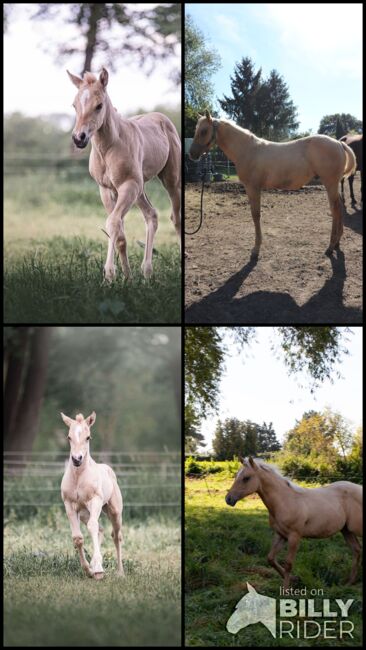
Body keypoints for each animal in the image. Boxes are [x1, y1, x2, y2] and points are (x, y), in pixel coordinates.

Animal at [59, 410, 123, 576]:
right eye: (69, 437)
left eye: (88, 437)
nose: (77, 459)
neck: (79, 478)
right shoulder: (69, 505)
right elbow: (78, 538)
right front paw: (88, 570)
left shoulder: (95, 501)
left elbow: (92, 527)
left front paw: (98, 570)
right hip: (84, 514)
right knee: (101, 531)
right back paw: (95, 565)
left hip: (113, 511)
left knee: (116, 536)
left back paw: (120, 572)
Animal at [67, 67, 182, 280]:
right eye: (74, 105)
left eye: (99, 105)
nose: (79, 138)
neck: (109, 147)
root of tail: (161, 117)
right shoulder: (106, 189)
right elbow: (119, 231)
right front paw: (127, 277)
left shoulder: (128, 186)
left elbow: (113, 223)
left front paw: (109, 274)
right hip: (140, 188)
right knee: (151, 215)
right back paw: (146, 271)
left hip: (170, 180)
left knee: (176, 218)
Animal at [190, 112, 356, 260]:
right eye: (196, 129)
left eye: (204, 131)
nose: (192, 154)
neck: (248, 150)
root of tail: (339, 143)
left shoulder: (253, 188)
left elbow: (256, 215)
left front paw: (255, 250)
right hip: (333, 184)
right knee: (338, 207)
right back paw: (336, 244)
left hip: (330, 183)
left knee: (335, 209)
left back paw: (330, 247)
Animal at [224, 456, 362, 588]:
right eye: (236, 476)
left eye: (246, 478)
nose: (228, 499)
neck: (285, 501)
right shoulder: (280, 535)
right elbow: (270, 558)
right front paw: (294, 579)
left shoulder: (294, 536)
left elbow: (288, 564)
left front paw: (286, 590)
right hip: (346, 530)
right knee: (356, 550)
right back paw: (349, 582)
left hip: (355, 529)